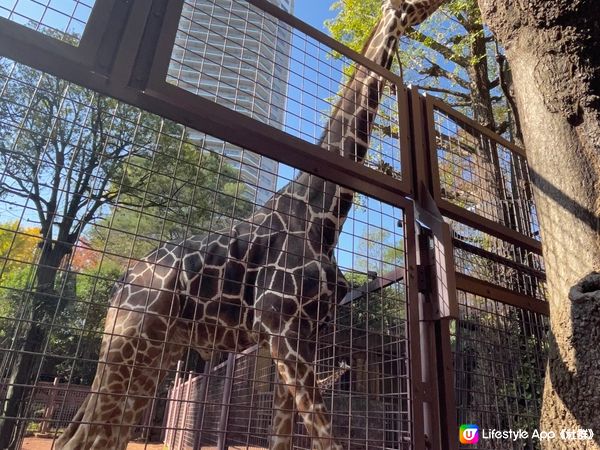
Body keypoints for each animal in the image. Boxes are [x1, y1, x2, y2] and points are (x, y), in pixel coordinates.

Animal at [54, 1, 442, 448]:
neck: (322, 218)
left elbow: (284, 437)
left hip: (156, 353)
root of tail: (119, 287)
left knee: (101, 434)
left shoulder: (303, 333)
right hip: (128, 346)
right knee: (83, 437)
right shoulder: (278, 323)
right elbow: (325, 436)